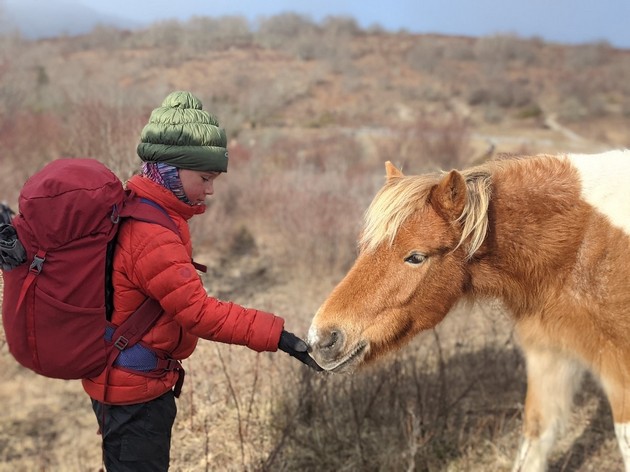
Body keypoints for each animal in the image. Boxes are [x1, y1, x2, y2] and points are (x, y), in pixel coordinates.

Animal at [308, 151, 630, 472]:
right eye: (364, 247)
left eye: (416, 257)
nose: (322, 339)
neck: (583, 246)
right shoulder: (550, 355)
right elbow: (536, 436)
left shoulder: (618, 372)